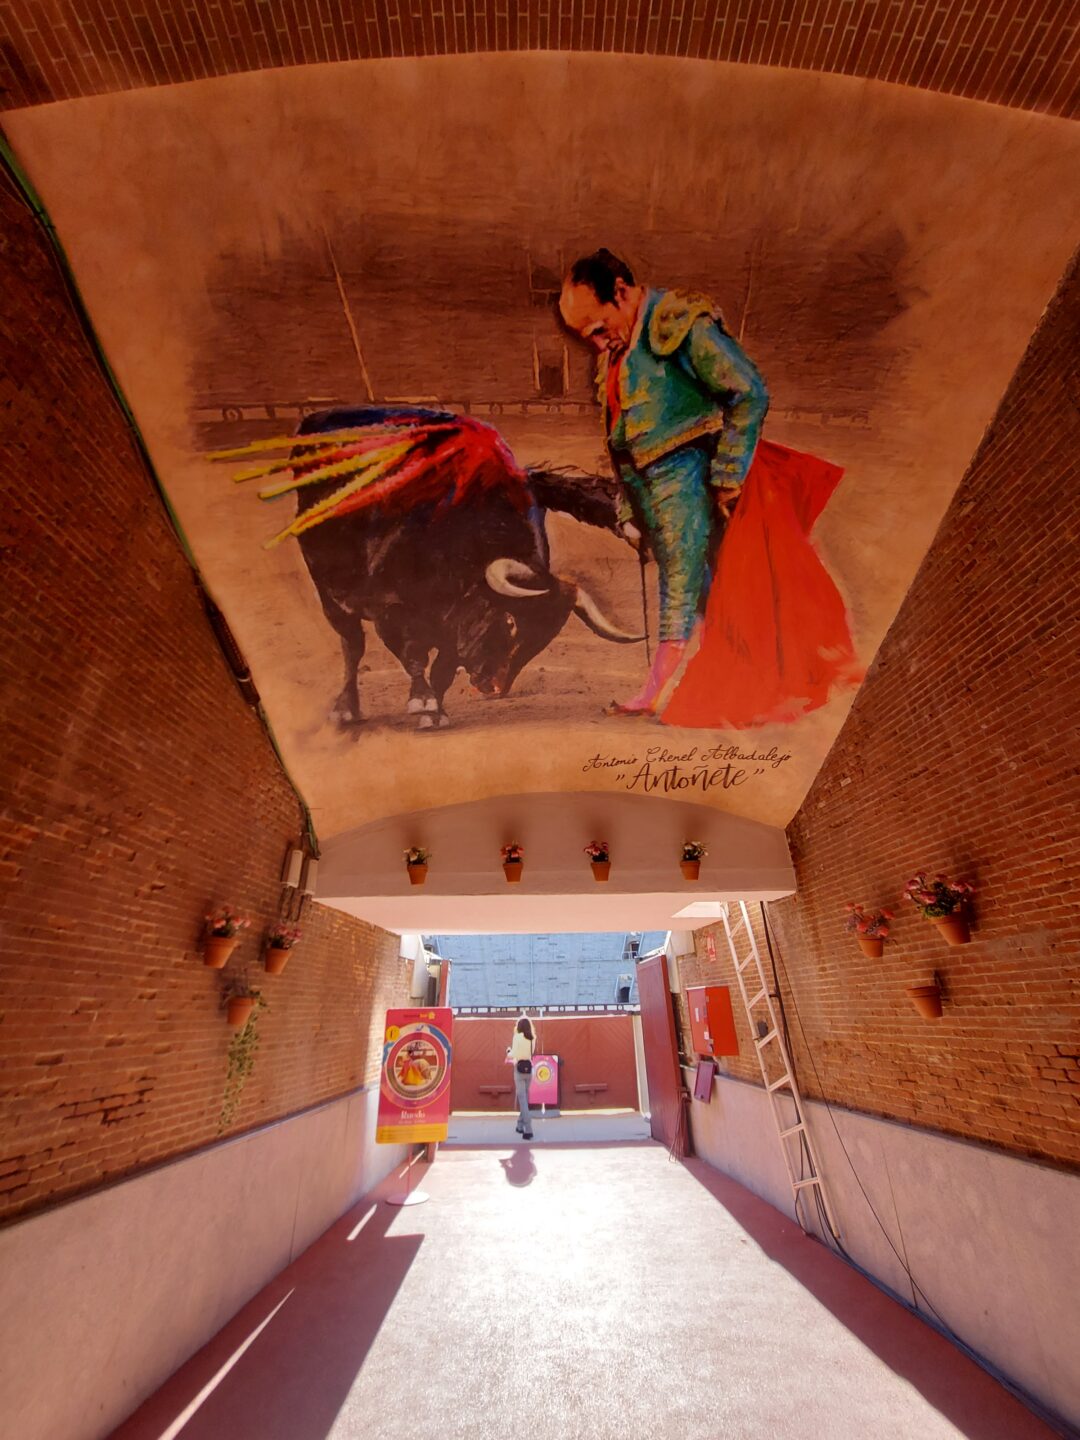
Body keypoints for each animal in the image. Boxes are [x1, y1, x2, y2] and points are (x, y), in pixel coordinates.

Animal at [217, 408, 642, 731]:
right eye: (511, 622)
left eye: (546, 639)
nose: (494, 687)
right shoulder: (391, 609)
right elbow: (413, 656)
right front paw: (422, 703)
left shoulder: (450, 621)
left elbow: (444, 666)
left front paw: (436, 709)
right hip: (329, 595)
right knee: (352, 647)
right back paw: (346, 709)